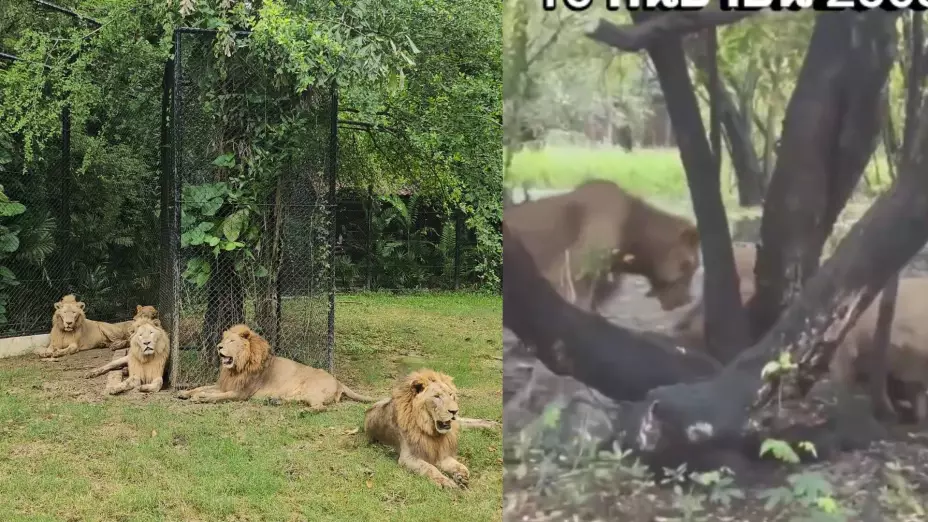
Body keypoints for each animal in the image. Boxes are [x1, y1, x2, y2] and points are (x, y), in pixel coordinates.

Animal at [176, 324, 373, 407]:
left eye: (231, 341)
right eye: (223, 340)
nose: (218, 347)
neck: (236, 368)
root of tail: (338, 381)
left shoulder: (241, 393)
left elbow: (217, 396)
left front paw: (202, 398)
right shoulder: (224, 384)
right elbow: (203, 387)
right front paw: (186, 393)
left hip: (312, 388)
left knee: (319, 406)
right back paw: (275, 401)